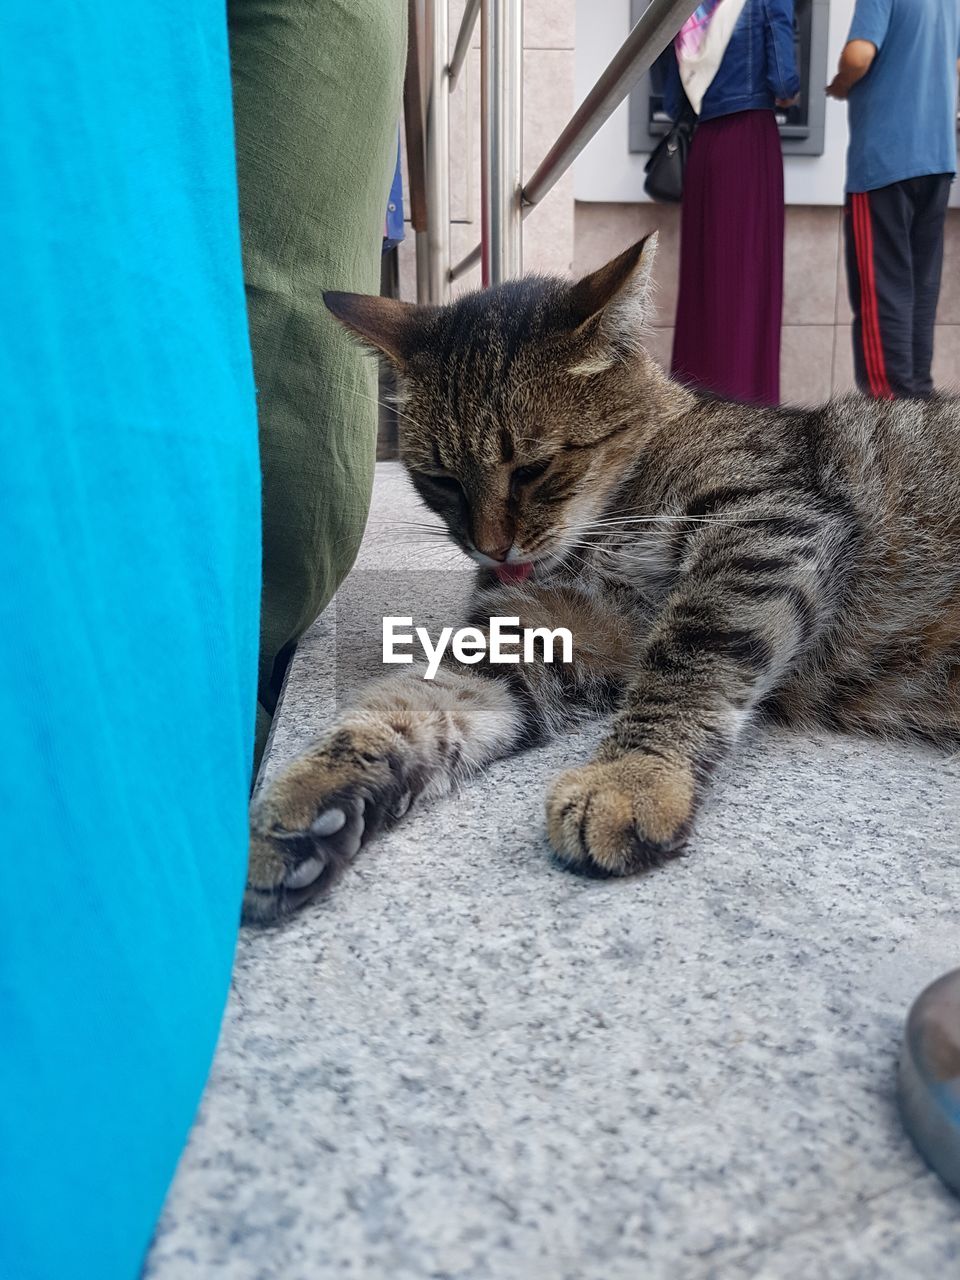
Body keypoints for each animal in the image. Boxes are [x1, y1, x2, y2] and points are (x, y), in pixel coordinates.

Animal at [245, 238, 960, 921]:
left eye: (532, 469)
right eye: (441, 481)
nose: (491, 549)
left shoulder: (766, 522)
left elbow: (687, 667)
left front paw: (633, 778)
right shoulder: (532, 632)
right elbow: (404, 706)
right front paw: (303, 800)